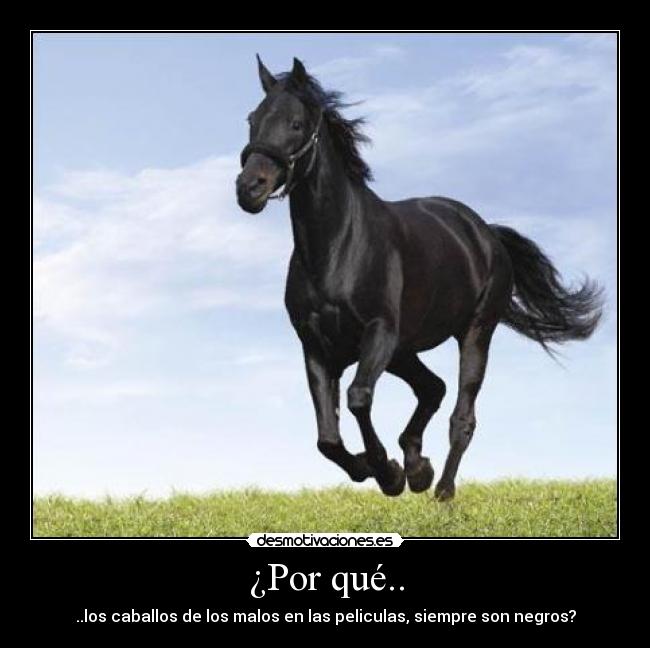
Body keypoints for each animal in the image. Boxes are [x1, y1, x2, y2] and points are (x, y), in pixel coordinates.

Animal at [236, 56, 603, 500]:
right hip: (404, 350)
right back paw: (418, 467)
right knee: (433, 388)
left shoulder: (378, 333)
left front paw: (387, 472)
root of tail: (485, 232)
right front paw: (379, 468)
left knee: (461, 415)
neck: (337, 247)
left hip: (472, 333)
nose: (249, 188)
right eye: (252, 119)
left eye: (295, 123)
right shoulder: (317, 348)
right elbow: (327, 438)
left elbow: (358, 399)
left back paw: (440, 489)